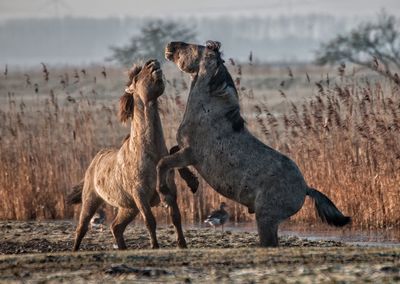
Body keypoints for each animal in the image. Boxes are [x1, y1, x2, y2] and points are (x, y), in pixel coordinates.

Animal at [158, 40, 352, 246]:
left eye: (192, 47)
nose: (170, 46)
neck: (208, 112)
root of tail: (306, 188)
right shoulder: (185, 152)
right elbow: (170, 153)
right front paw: (192, 183)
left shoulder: (191, 153)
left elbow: (163, 162)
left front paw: (163, 193)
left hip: (265, 219)